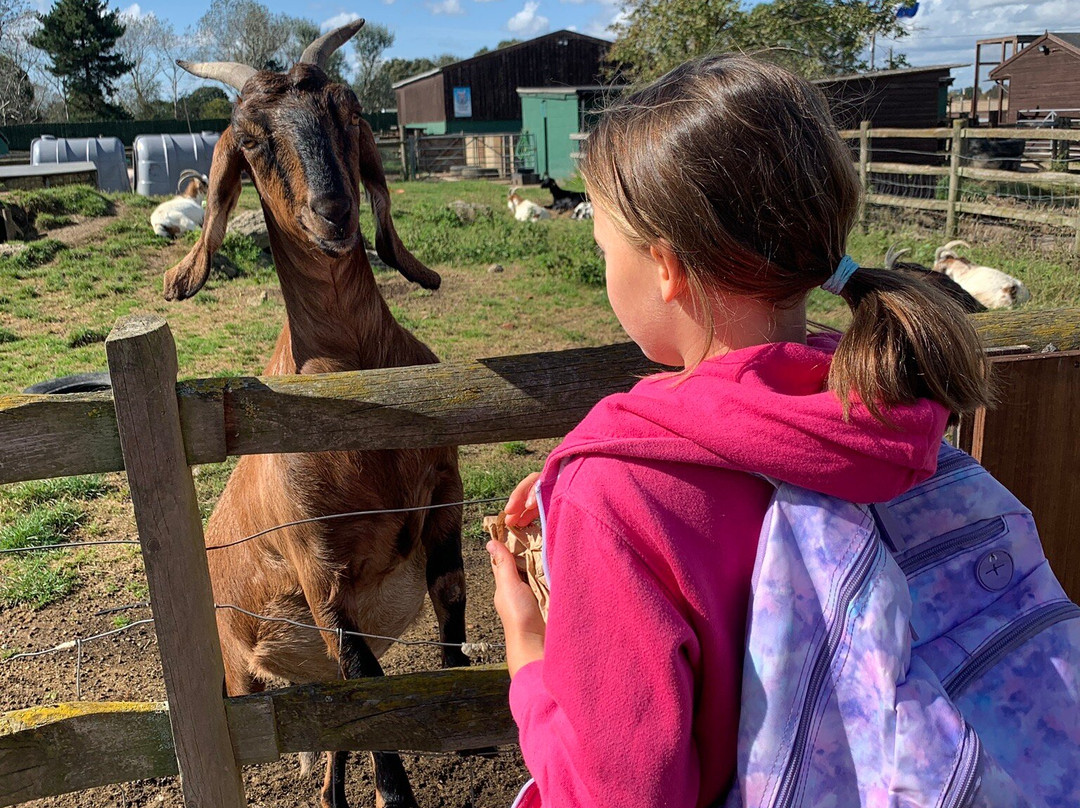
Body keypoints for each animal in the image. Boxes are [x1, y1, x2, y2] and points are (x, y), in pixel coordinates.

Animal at [163, 20, 464, 808]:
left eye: (346, 107)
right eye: (249, 136)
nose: (333, 213)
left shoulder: (445, 490)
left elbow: (450, 593)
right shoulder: (318, 565)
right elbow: (367, 682)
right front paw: (398, 788)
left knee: (330, 746)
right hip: (239, 670)